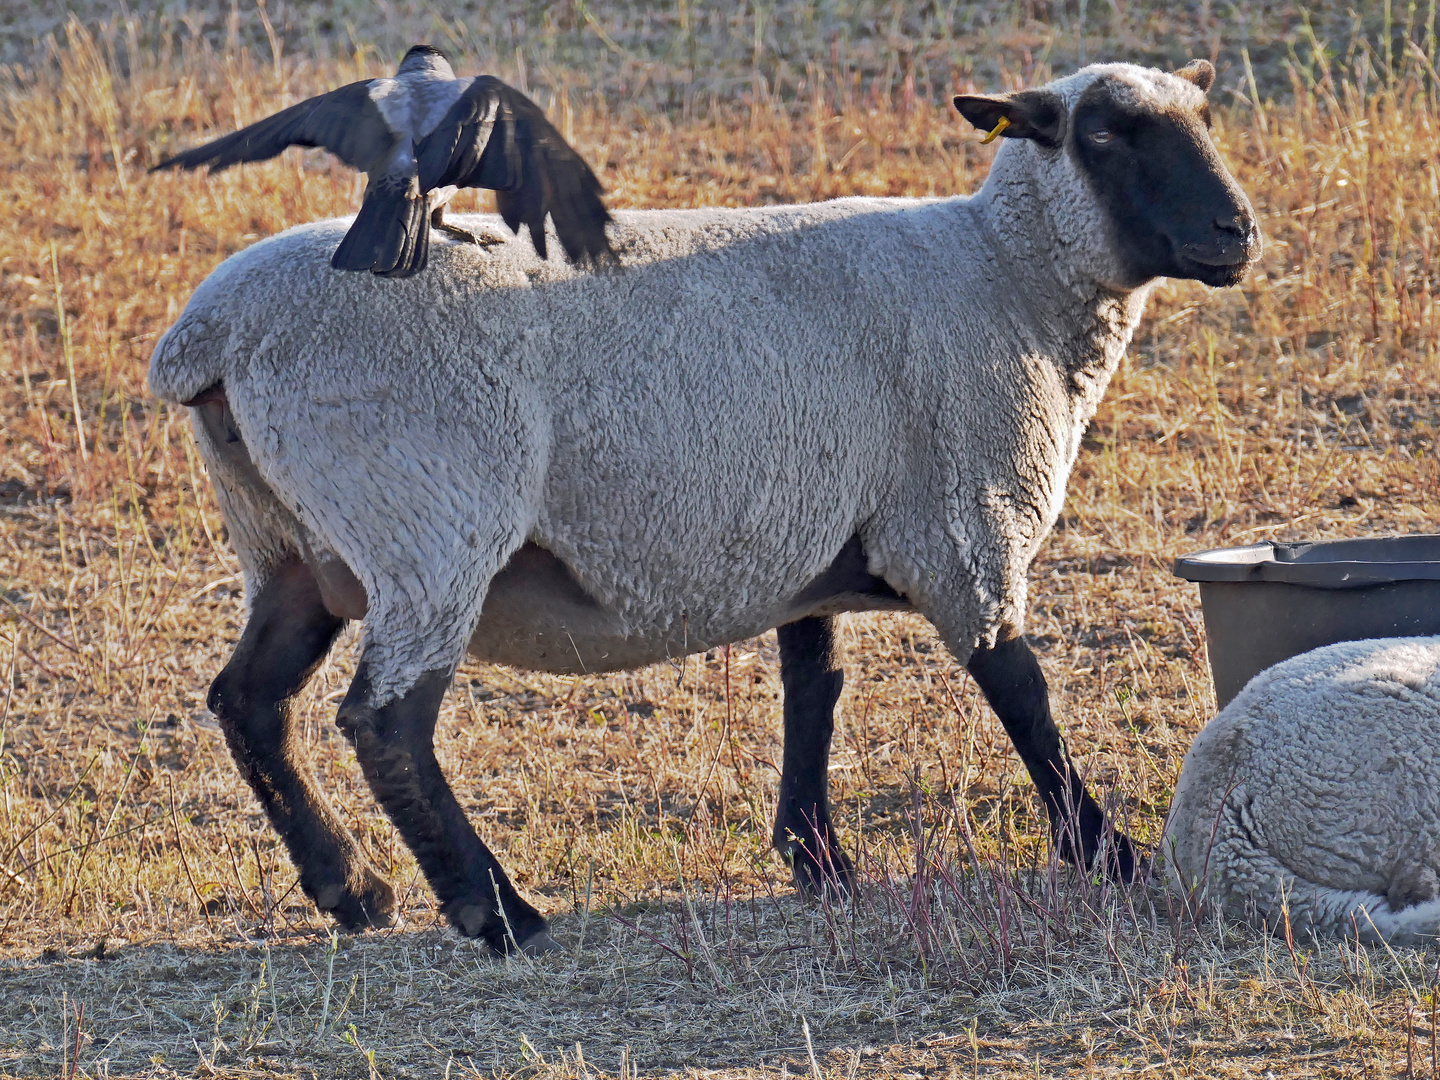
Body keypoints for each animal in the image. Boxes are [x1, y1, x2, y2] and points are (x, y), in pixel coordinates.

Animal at [151, 61, 1261, 956]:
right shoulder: (962, 525)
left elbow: (815, 685)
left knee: (250, 701)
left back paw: (352, 888)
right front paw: (1111, 854)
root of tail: (211, 337)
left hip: (291, 544)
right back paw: (497, 915)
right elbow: (1023, 697)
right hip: (425, 523)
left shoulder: (811, 528)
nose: (1237, 233)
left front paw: (819, 860)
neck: (1007, 274)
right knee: (384, 723)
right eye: (1105, 135)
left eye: (1204, 119)